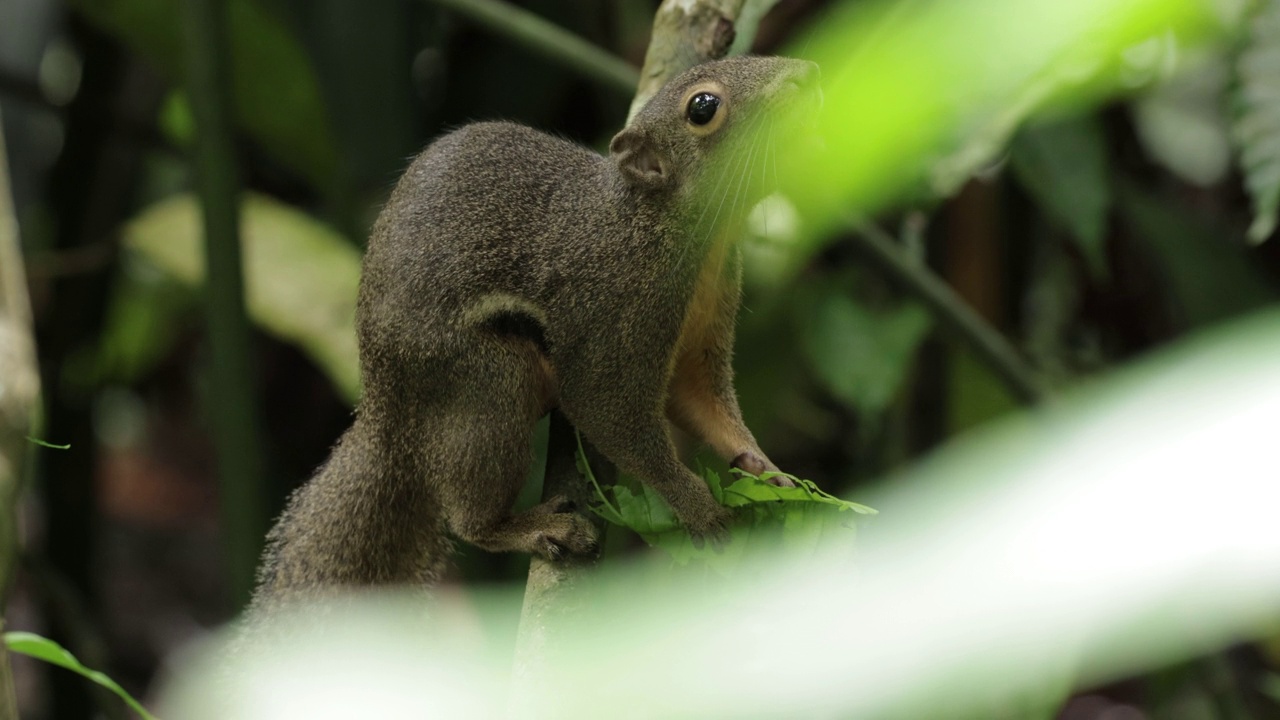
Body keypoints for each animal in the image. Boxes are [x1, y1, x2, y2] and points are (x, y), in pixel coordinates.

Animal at [249, 54, 819, 604]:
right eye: (703, 108)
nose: (810, 74)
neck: (676, 231)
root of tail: (386, 411)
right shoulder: (619, 309)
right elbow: (607, 411)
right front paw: (697, 504)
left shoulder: (704, 318)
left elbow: (699, 400)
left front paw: (769, 470)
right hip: (484, 384)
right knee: (471, 513)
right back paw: (526, 529)